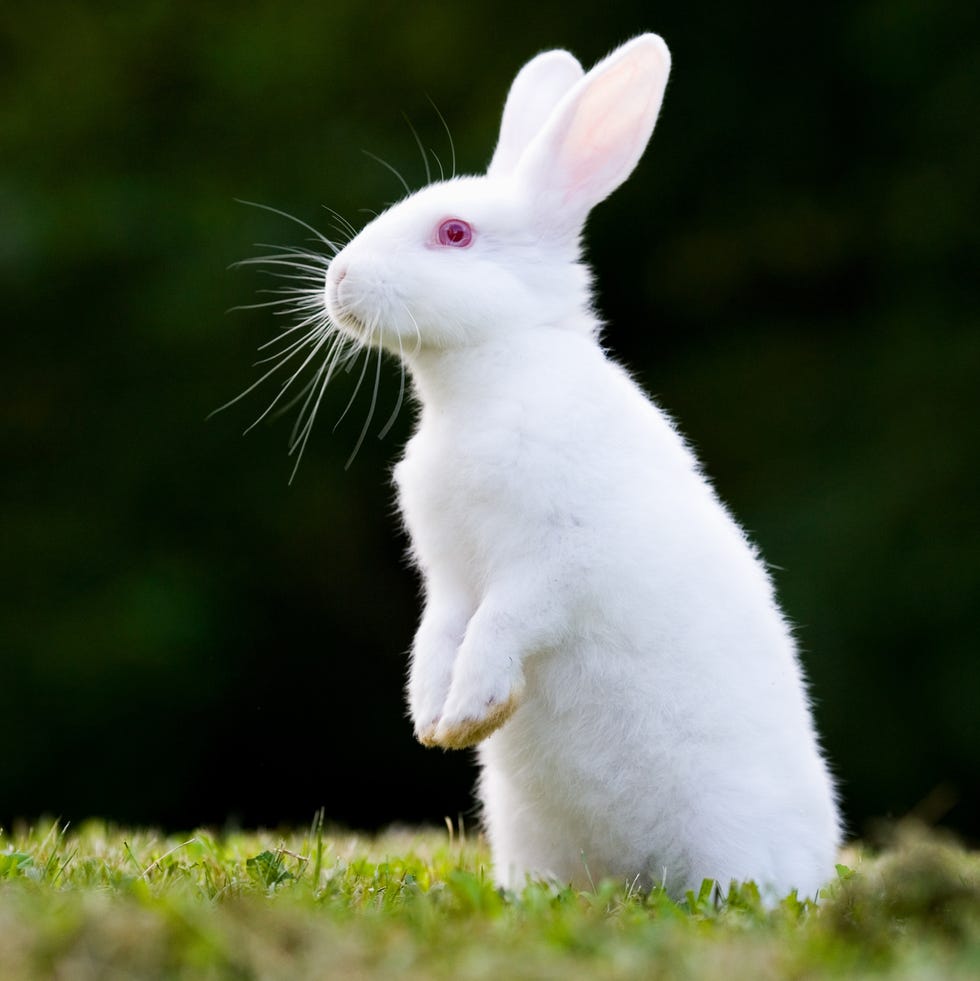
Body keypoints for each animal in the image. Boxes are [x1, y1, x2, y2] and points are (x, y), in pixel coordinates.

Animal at [310, 34, 840, 900]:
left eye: (454, 234)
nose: (338, 280)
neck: (487, 381)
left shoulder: (555, 562)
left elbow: (501, 623)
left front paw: (469, 711)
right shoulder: (448, 578)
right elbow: (439, 633)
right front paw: (431, 719)